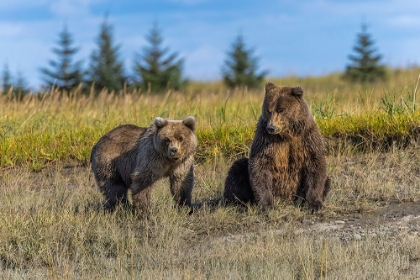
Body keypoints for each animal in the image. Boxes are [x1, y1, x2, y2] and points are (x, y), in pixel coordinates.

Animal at [225, 82, 330, 210]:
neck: (286, 134)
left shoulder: (306, 137)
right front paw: (266, 204)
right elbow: (260, 165)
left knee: (327, 180)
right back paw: (238, 202)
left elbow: (315, 164)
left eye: (281, 110)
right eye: (269, 110)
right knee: (237, 169)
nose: (271, 127)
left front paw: (313, 204)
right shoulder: (265, 139)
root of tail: (287, 198)